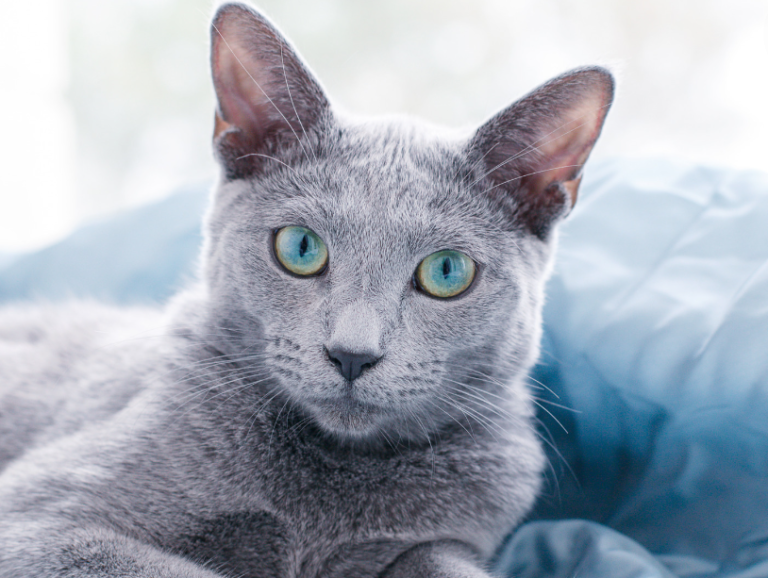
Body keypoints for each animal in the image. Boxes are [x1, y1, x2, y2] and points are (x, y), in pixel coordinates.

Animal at [0, 2, 612, 572]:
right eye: (300, 247)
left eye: (446, 272)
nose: (352, 354)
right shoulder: (39, 525)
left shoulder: (448, 540)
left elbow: (437, 560)